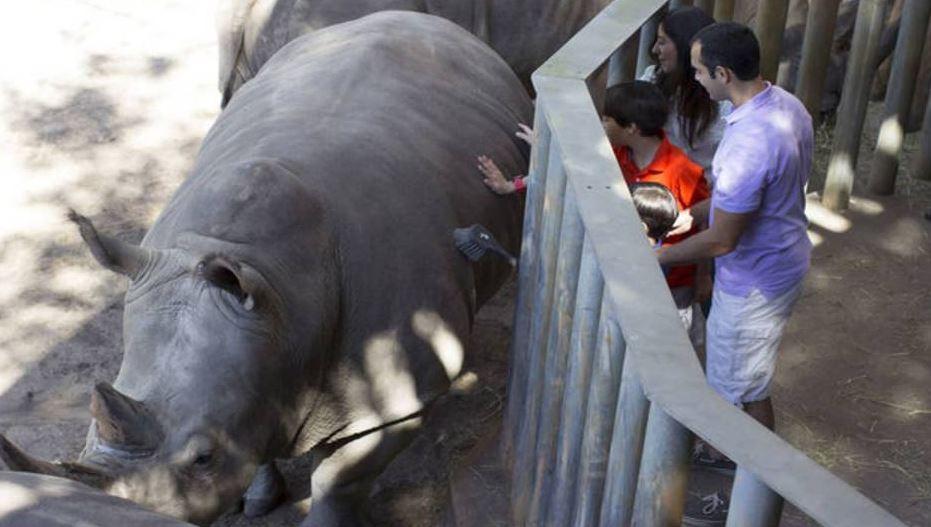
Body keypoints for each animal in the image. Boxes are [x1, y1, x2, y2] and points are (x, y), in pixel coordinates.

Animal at [0, 11, 530, 526]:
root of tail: (425, 20)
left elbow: (339, 479)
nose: (125, 514)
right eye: (89, 432)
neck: (285, 291)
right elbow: (256, 430)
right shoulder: (255, 345)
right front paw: (256, 500)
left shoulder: (397, 399)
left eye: (203, 458)